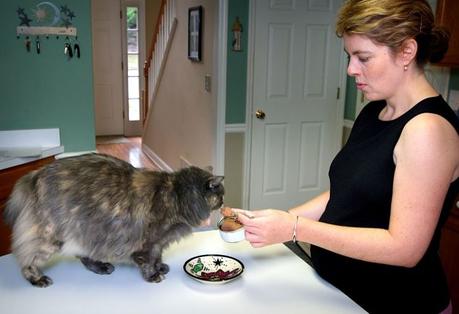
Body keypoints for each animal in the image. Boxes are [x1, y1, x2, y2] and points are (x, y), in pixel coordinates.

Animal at [2, 153, 226, 288]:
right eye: (221, 195)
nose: (224, 202)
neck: (177, 195)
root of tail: (35, 175)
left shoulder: (160, 242)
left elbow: (158, 256)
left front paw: (161, 267)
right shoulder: (149, 241)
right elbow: (148, 260)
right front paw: (153, 275)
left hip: (85, 232)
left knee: (82, 255)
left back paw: (101, 267)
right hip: (51, 236)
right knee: (26, 259)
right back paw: (39, 279)